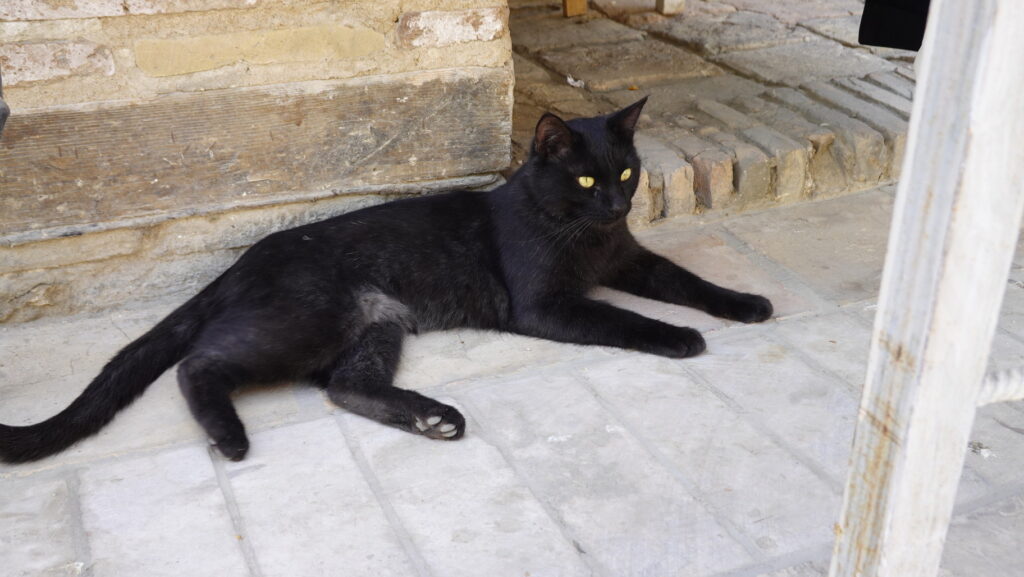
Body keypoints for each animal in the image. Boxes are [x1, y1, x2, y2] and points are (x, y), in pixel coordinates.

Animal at [0, 97, 772, 464]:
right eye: (586, 179)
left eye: (626, 173)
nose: (617, 205)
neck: (584, 233)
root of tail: (243, 260)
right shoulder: (546, 304)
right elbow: (626, 319)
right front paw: (681, 337)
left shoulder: (631, 261)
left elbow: (686, 278)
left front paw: (747, 302)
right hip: (309, 319)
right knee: (199, 364)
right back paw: (232, 438)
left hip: (374, 327)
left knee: (345, 387)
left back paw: (433, 416)